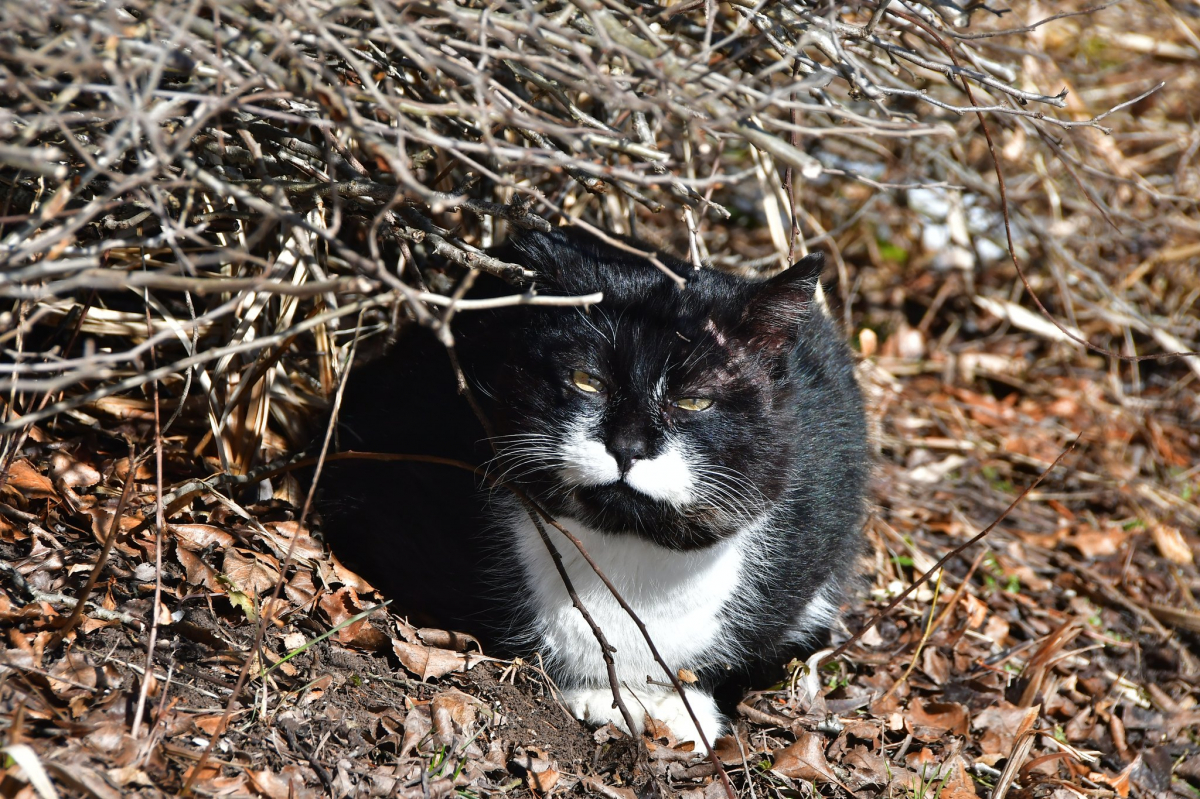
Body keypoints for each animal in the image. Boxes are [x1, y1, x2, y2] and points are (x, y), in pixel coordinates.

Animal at [319, 226, 868, 743]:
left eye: (694, 402)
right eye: (588, 381)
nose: (627, 446)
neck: (627, 554)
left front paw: (684, 710)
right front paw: (600, 696)